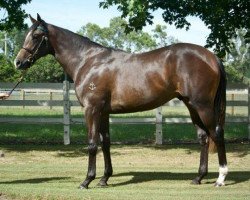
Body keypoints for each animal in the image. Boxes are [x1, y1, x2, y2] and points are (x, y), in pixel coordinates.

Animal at [14, 14, 228, 189]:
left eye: (35, 36)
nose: (18, 62)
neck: (88, 61)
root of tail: (211, 57)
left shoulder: (91, 110)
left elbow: (92, 143)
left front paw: (87, 180)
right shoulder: (103, 112)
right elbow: (106, 142)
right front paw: (104, 179)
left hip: (203, 106)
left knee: (216, 133)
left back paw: (220, 178)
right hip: (191, 106)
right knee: (203, 137)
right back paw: (198, 177)